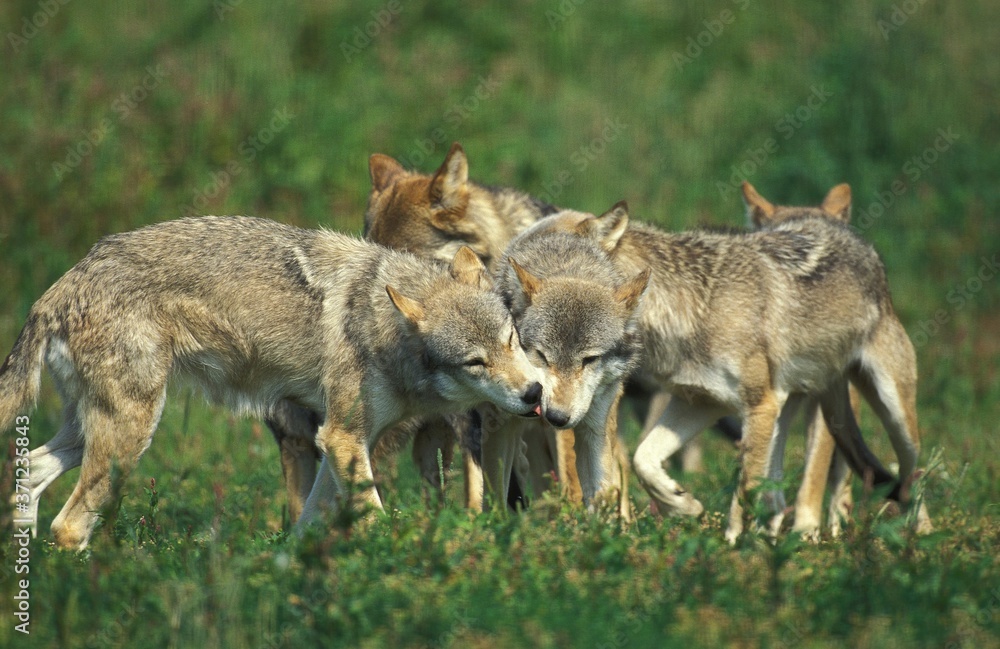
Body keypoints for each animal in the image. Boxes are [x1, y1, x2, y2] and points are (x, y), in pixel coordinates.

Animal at [0, 216, 544, 549]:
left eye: (511, 340)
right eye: (475, 363)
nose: (535, 393)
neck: (382, 327)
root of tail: (62, 283)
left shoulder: (342, 442)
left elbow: (307, 524)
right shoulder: (342, 438)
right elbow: (374, 518)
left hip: (91, 434)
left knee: (27, 470)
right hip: (128, 438)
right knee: (68, 525)